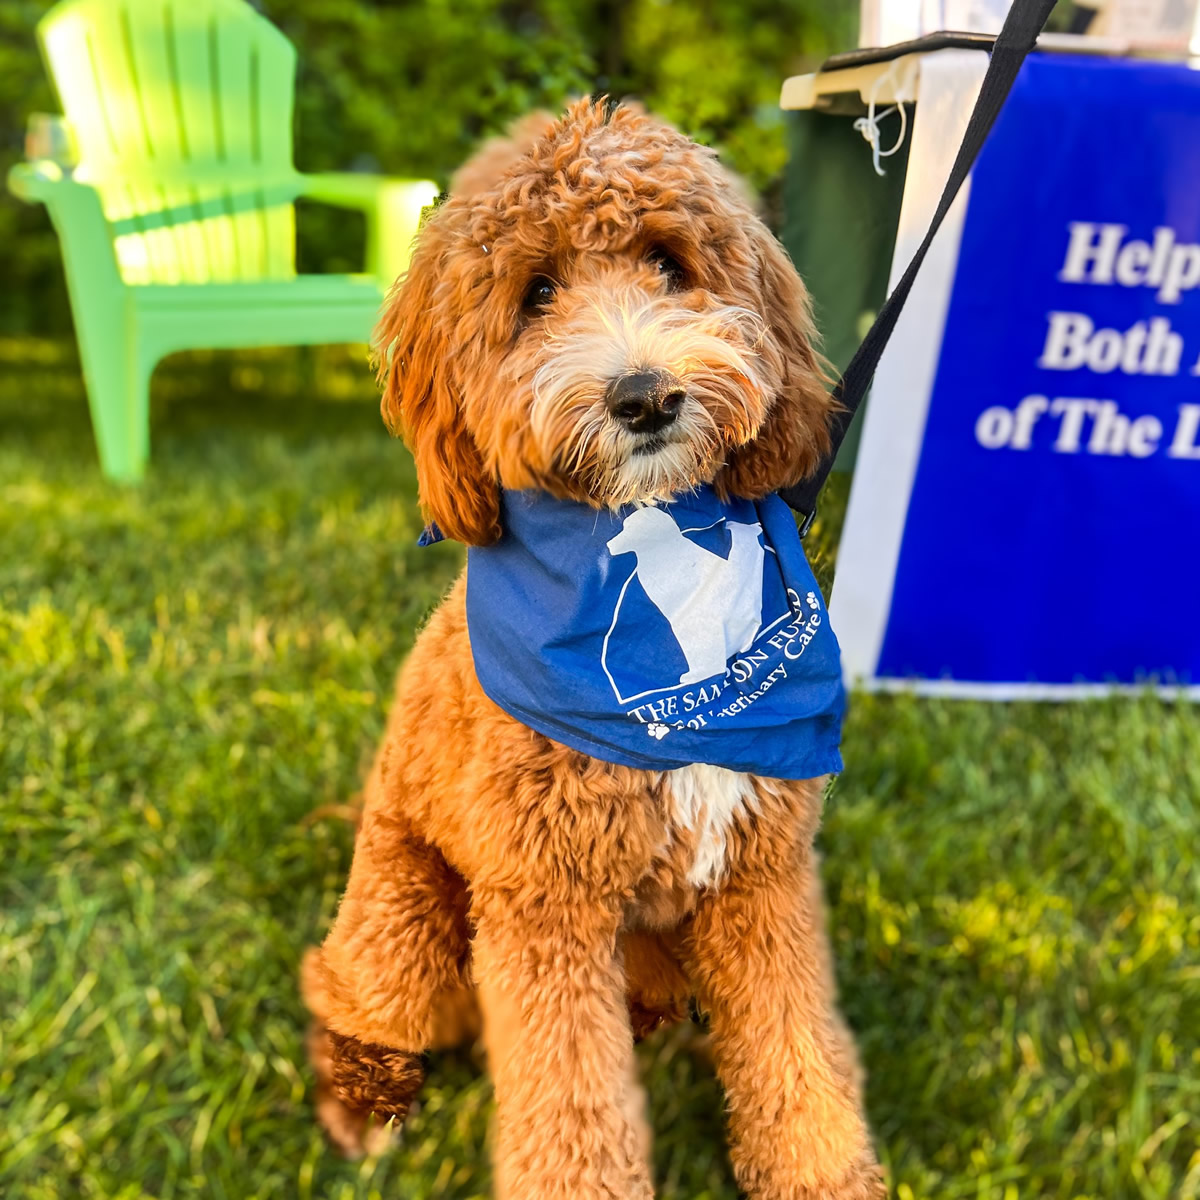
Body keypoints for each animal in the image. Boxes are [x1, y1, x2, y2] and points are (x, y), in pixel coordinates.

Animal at [302, 96, 883, 1200]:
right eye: (536, 293)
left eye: (668, 262)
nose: (646, 397)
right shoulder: (544, 905)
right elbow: (570, 1101)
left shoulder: (761, 875)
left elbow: (796, 1047)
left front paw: (820, 1170)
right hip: (406, 904)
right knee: (348, 989)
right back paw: (363, 1098)